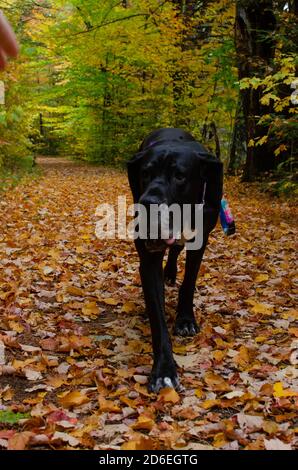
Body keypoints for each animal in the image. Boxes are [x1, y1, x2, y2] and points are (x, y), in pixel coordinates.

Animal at [127, 129, 222, 392]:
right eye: (145, 173)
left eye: (180, 176)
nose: (147, 203)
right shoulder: (148, 261)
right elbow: (157, 318)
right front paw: (164, 370)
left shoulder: (200, 239)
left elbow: (189, 283)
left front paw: (186, 319)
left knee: (177, 250)